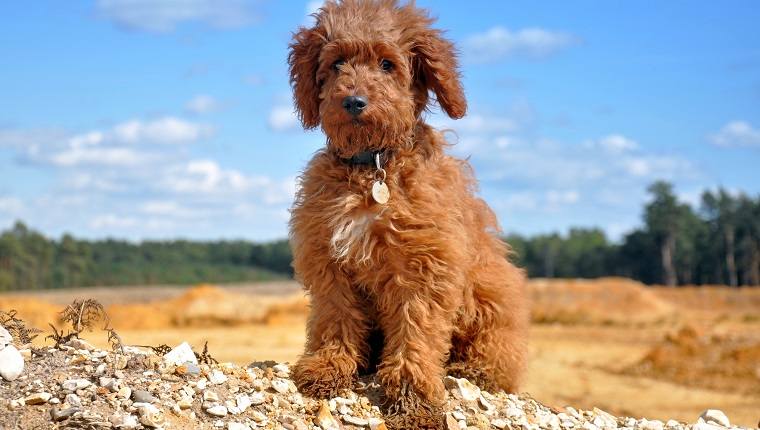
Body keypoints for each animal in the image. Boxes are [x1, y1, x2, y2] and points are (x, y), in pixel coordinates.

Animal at [284, 0, 528, 426]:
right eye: (337, 63)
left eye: (387, 64)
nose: (353, 101)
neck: (373, 166)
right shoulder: (328, 259)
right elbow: (335, 316)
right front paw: (329, 367)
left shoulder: (425, 265)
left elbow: (416, 332)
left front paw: (414, 397)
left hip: (492, 299)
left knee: (498, 359)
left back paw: (471, 370)